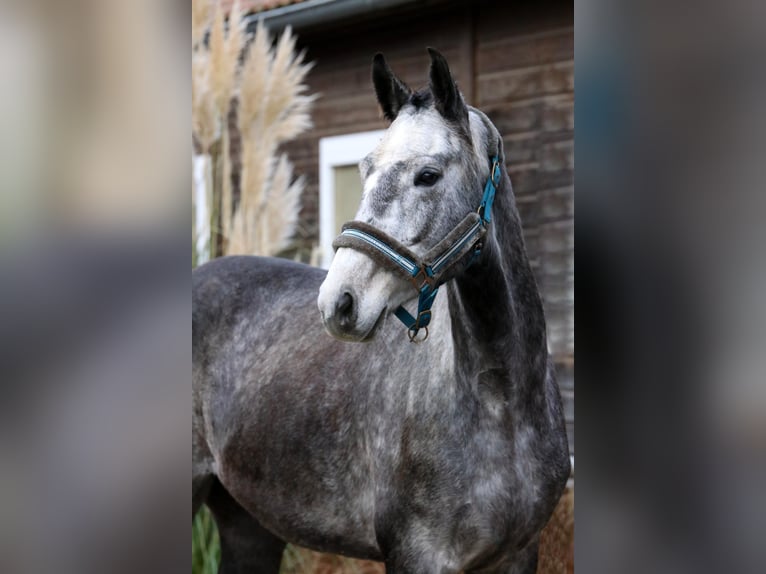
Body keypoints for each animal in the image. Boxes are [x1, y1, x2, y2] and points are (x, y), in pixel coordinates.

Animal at [195, 50, 572, 574]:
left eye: (428, 175)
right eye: (365, 169)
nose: (339, 301)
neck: (502, 405)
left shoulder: (520, 553)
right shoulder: (418, 556)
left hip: (248, 526)